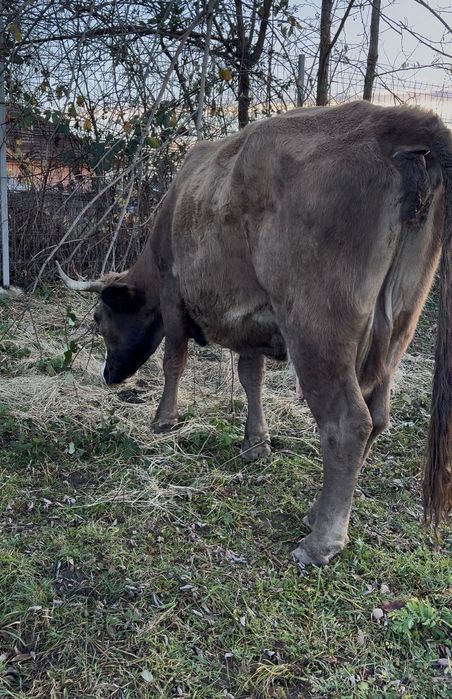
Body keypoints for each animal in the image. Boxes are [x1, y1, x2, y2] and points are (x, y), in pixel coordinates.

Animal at [58, 101, 452, 566]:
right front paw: (256, 442)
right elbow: (251, 377)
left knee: (349, 421)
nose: (108, 375)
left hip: (317, 328)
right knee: (377, 415)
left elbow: (174, 360)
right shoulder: (254, 320)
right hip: (396, 330)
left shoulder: (174, 298)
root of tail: (394, 122)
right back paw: (317, 512)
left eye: (99, 318)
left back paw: (322, 540)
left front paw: (163, 419)